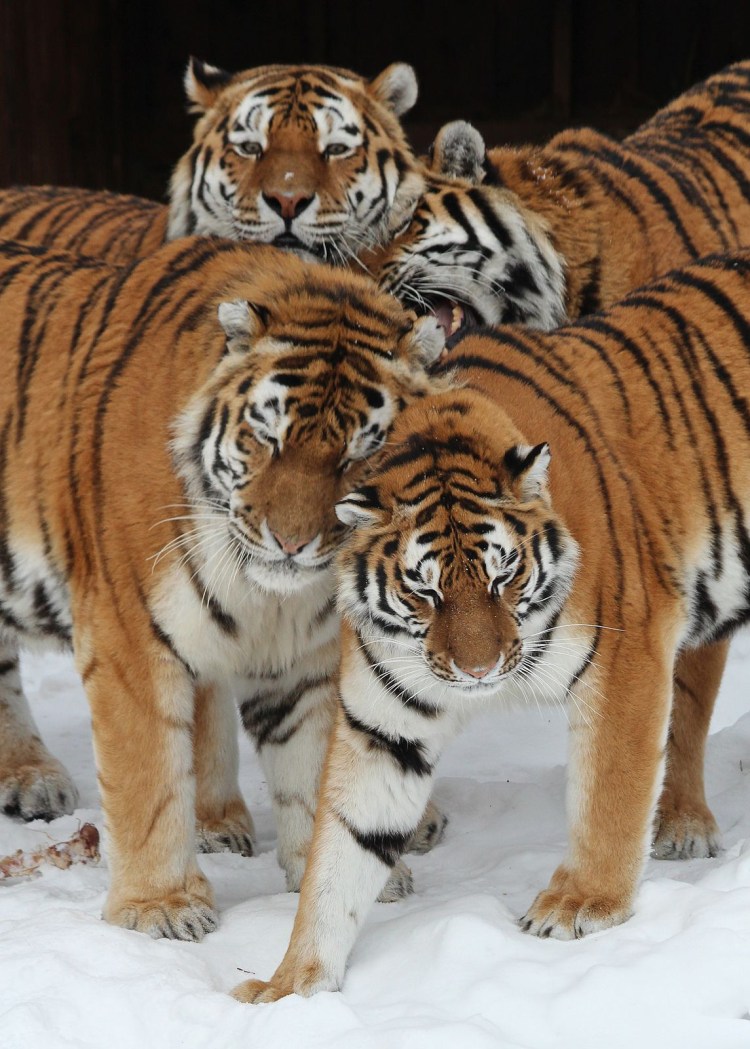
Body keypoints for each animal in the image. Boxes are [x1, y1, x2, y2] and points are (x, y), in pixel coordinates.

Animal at [0, 235, 448, 939]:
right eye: (268, 438)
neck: (276, 596)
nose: (291, 542)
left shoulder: (310, 655)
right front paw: (160, 907)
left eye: (356, 455)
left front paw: (328, 877)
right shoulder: (128, 632)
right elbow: (150, 776)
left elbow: (312, 767)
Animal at [233, 248, 750, 1002]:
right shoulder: (382, 723)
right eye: (424, 591)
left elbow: (611, 792)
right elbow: (343, 850)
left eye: (504, 578)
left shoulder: (628, 655)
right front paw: (293, 982)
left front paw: (583, 903)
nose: (479, 671)